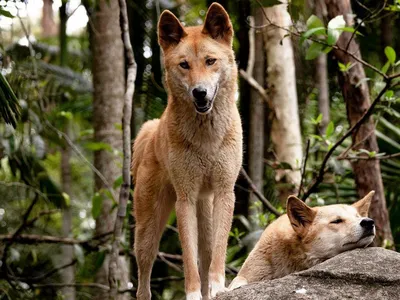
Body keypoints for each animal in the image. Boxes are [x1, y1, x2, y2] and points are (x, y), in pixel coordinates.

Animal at [133, 2, 242, 300]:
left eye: (210, 61)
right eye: (184, 65)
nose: (199, 92)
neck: (207, 139)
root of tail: (152, 128)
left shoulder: (225, 192)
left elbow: (217, 254)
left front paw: (218, 288)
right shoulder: (185, 199)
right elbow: (188, 259)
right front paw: (193, 294)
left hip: (206, 213)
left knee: (206, 254)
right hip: (147, 230)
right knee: (143, 280)